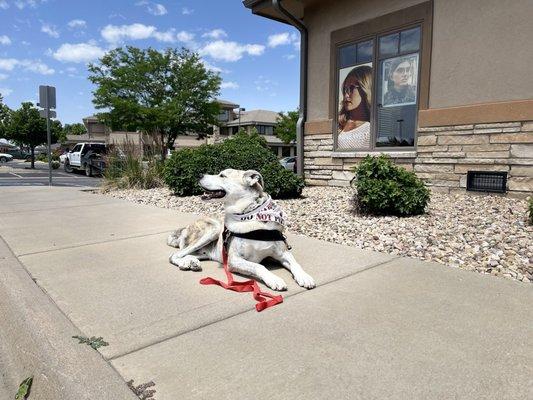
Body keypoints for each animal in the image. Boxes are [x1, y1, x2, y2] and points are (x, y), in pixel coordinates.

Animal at [167, 169, 316, 290]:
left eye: (222, 175)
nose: (199, 175)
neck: (250, 216)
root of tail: (184, 228)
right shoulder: (234, 260)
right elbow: (259, 266)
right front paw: (274, 279)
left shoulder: (282, 253)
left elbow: (295, 263)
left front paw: (304, 277)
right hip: (214, 229)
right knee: (174, 255)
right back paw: (185, 263)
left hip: (208, 251)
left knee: (188, 254)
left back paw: (191, 262)